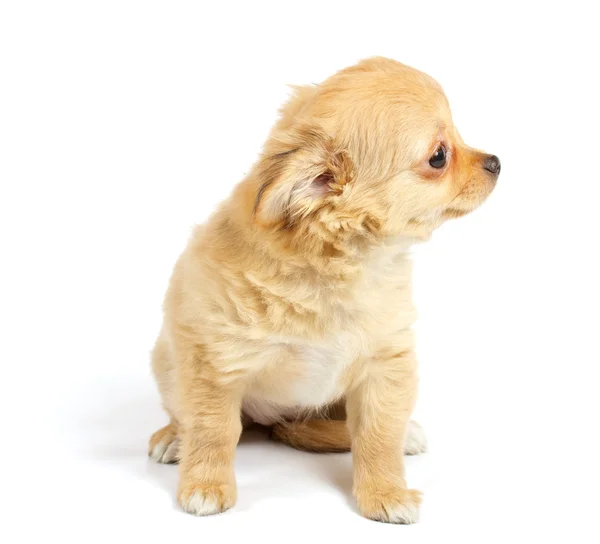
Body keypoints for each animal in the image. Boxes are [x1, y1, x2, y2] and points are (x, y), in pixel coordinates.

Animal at [148, 58, 500, 524]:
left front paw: (385, 491)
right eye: (439, 156)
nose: (496, 161)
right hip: (168, 362)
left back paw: (406, 433)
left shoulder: (386, 364)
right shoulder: (216, 363)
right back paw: (174, 437)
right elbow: (213, 430)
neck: (339, 273)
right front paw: (206, 484)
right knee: (190, 416)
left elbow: (378, 437)